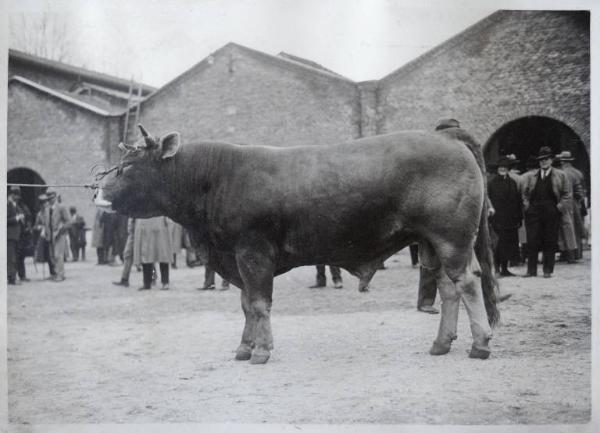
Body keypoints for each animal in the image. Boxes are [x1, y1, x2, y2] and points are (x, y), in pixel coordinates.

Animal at [102, 123, 496, 362]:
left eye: (129, 165)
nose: (99, 191)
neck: (214, 177)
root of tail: (447, 138)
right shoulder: (237, 258)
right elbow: (246, 304)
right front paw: (244, 347)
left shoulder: (253, 252)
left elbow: (259, 303)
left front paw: (261, 351)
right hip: (431, 243)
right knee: (448, 288)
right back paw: (441, 343)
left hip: (452, 238)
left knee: (467, 283)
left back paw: (480, 343)